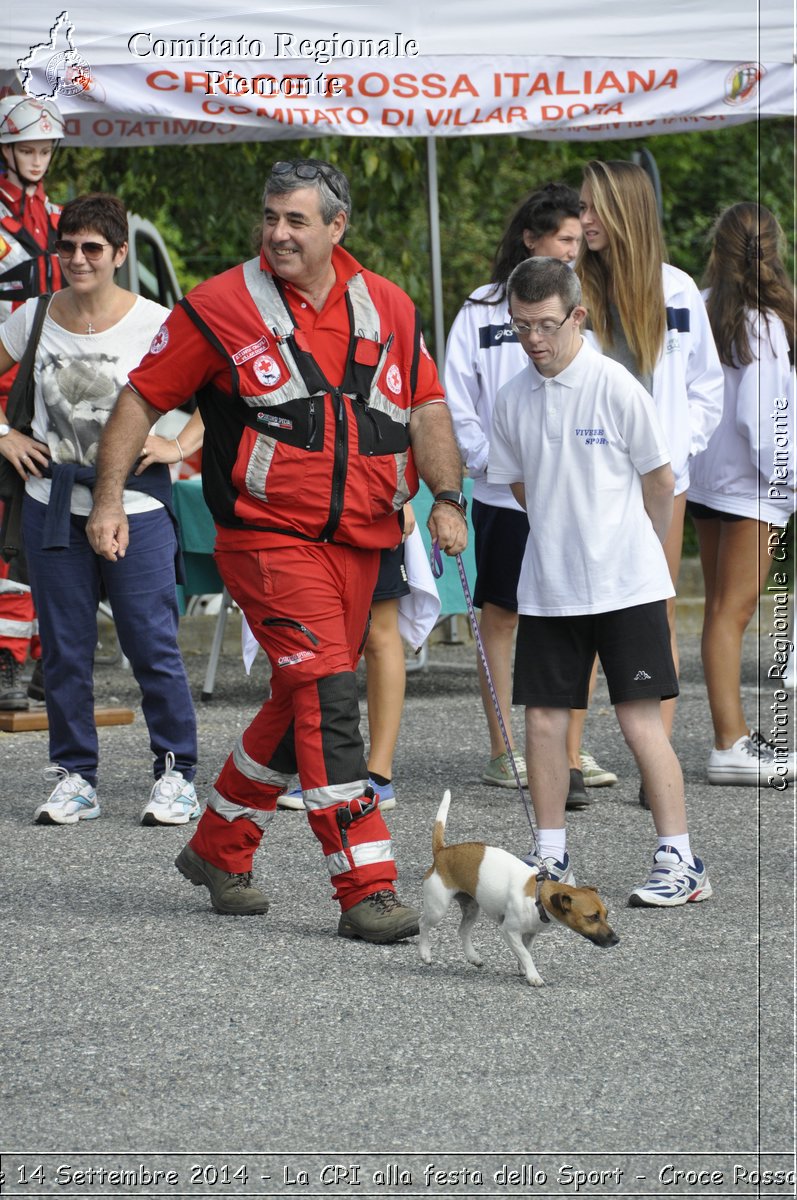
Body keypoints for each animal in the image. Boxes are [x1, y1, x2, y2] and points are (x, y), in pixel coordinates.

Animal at [420, 787, 619, 984]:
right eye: (593, 917)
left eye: (606, 914)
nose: (617, 939)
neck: (538, 897)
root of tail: (442, 851)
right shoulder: (509, 931)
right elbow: (526, 954)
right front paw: (533, 975)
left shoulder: (529, 934)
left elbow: (525, 951)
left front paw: (523, 968)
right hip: (438, 909)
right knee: (423, 923)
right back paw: (425, 953)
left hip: (471, 908)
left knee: (462, 931)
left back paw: (472, 957)